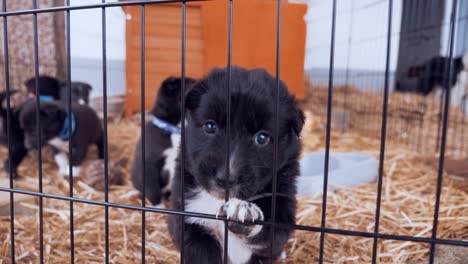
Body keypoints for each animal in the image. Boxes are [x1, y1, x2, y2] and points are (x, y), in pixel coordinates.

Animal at [168, 67, 304, 262]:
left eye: (262, 138)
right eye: (210, 126)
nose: (226, 179)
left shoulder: (283, 208)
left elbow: (271, 233)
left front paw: (244, 211)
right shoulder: (186, 217)